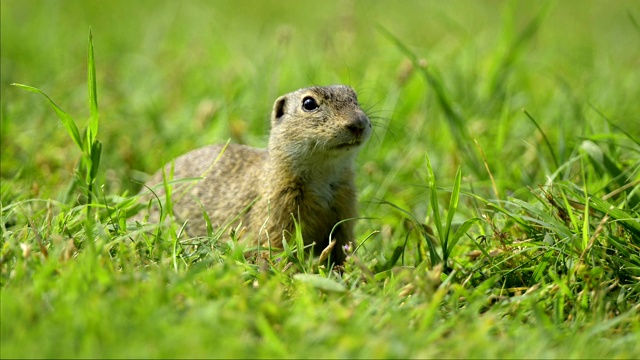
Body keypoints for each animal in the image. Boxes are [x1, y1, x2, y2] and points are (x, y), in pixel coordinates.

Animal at [140, 84, 370, 264]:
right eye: (308, 104)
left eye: (354, 97)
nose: (358, 123)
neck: (322, 173)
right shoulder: (277, 210)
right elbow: (275, 246)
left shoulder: (344, 211)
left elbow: (343, 246)